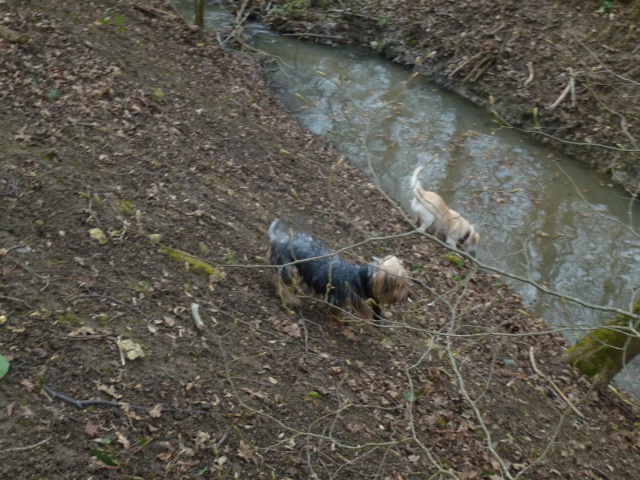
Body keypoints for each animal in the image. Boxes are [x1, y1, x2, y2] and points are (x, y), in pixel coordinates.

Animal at [266, 218, 410, 326]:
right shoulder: (338, 300)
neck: (360, 278)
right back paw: (292, 298)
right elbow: (339, 315)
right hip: (288, 266)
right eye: (400, 285)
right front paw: (342, 326)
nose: (408, 294)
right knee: (281, 282)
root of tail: (279, 239)